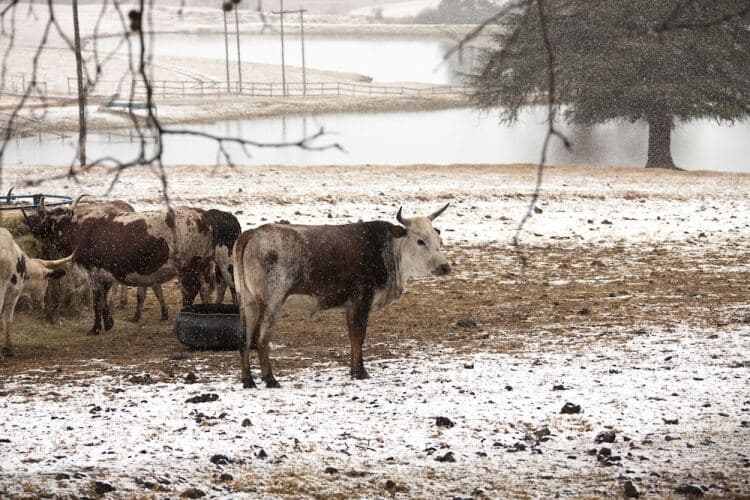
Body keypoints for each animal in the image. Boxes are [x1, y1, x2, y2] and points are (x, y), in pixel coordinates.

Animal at [232, 205, 450, 388]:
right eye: (420, 241)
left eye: (438, 240)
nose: (445, 267)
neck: (388, 250)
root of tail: (252, 233)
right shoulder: (362, 301)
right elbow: (359, 335)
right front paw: (361, 372)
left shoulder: (351, 306)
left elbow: (353, 336)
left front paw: (354, 371)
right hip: (271, 302)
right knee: (261, 337)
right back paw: (270, 379)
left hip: (248, 303)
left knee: (244, 338)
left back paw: (248, 380)